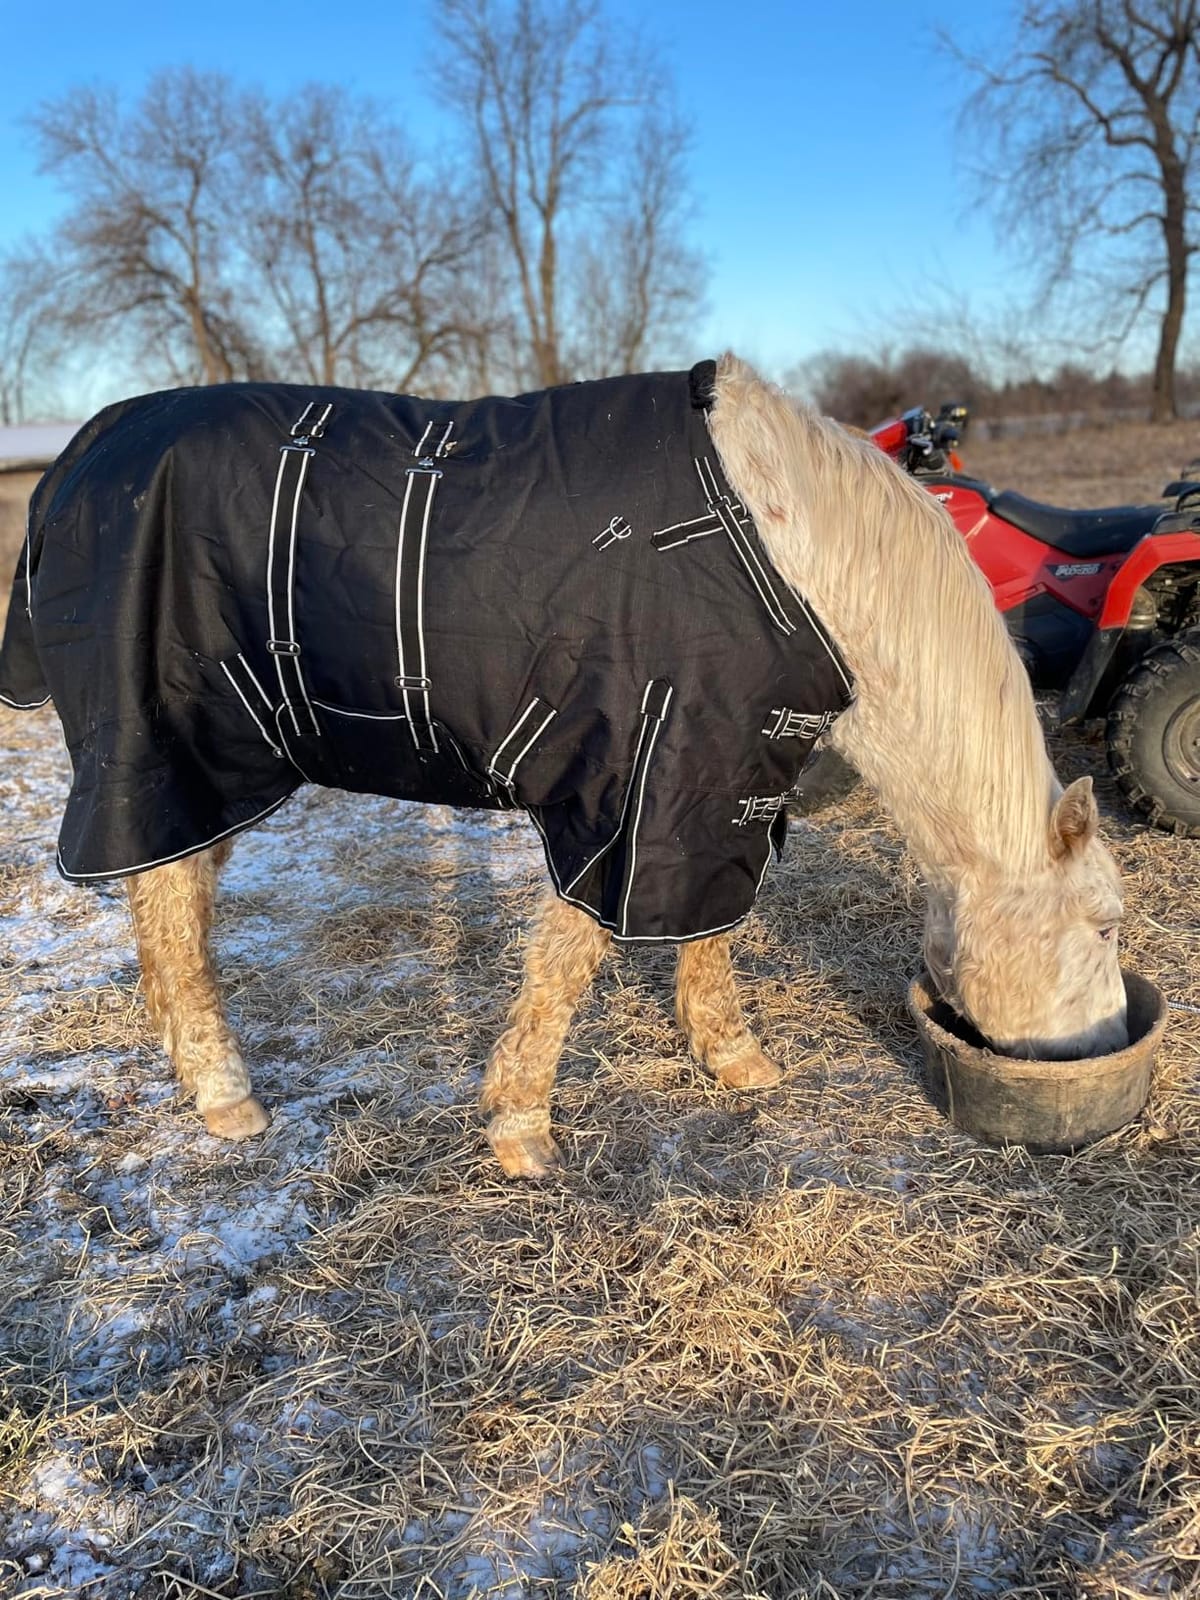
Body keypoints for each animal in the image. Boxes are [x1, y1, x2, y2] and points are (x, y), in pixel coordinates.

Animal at [0, 355, 1128, 1178]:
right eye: (1108, 923)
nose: (1109, 1041)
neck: (801, 562)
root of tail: (80, 455)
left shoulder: (721, 784)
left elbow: (713, 931)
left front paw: (735, 1059)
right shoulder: (634, 785)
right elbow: (570, 958)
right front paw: (520, 1130)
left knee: (175, 903)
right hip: (158, 748)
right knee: (165, 909)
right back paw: (226, 1093)